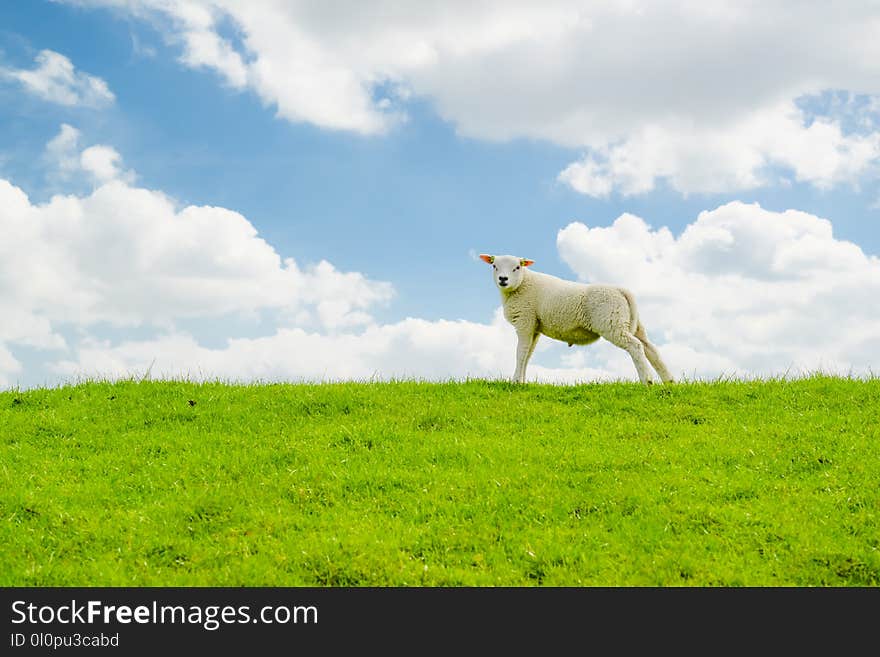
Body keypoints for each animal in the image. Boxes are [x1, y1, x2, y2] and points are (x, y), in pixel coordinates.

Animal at [482, 252, 672, 384]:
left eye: (517, 267)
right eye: (494, 266)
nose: (503, 279)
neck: (521, 285)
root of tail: (621, 290)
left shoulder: (525, 321)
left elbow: (520, 353)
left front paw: (515, 382)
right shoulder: (533, 326)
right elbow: (528, 354)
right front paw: (522, 381)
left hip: (611, 323)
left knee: (635, 346)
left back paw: (647, 381)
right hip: (631, 323)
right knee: (651, 349)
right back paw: (669, 381)